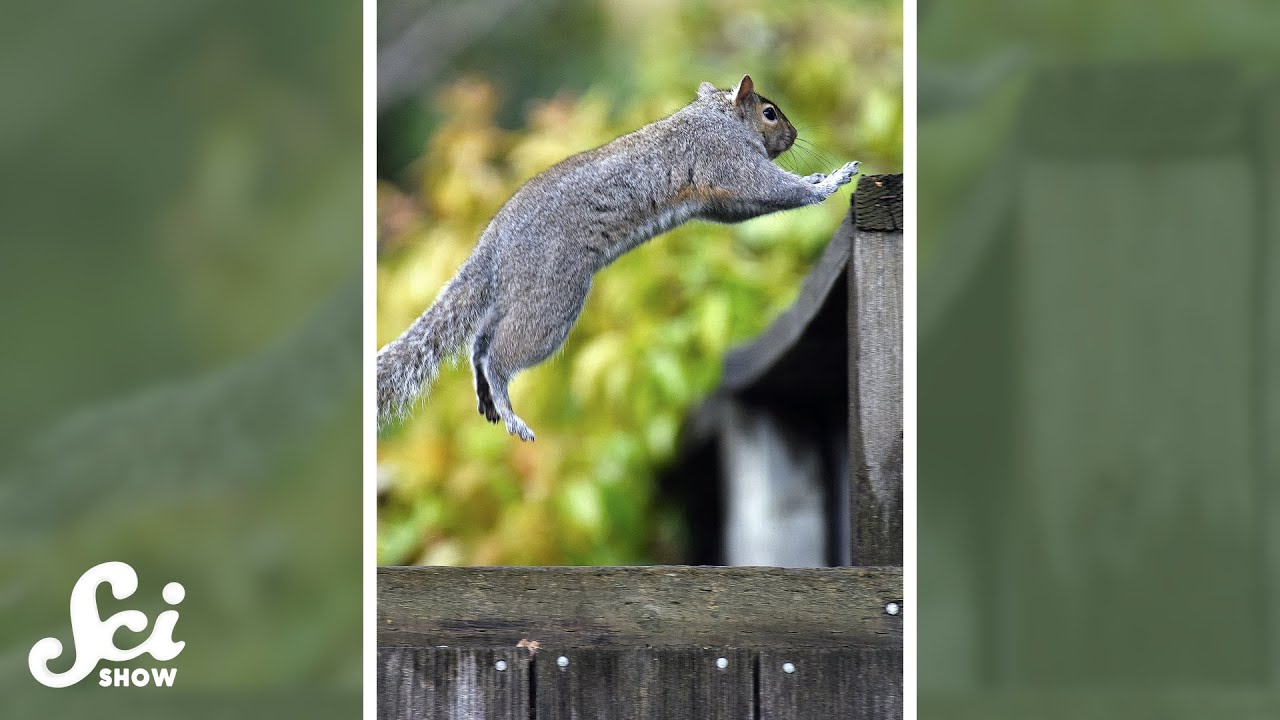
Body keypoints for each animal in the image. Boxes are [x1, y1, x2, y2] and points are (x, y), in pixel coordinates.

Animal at [378, 74, 860, 441]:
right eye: (770, 112)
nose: (794, 136)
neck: (717, 119)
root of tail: (492, 246)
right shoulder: (729, 162)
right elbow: (773, 189)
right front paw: (829, 182)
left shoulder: (721, 198)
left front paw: (817, 177)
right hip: (553, 296)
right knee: (499, 355)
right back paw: (508, 407)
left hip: (523, 292)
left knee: (479, 342)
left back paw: (486, 396)